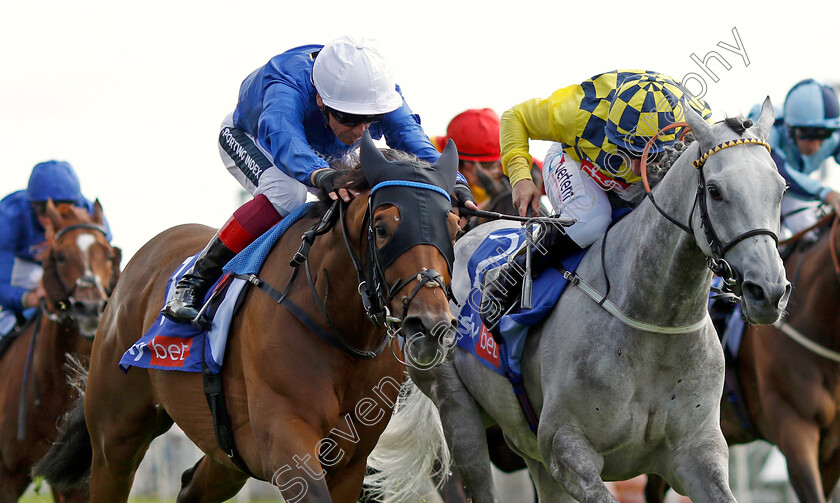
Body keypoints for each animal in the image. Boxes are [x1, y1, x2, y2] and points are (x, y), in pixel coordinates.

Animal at [36, 135, 462, 503]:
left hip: (226, 450)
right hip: (116, 436)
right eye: (383, 227)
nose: (430, 325)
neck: (338, 327)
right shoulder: (286, 440)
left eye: (455, 226)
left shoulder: (349, 460)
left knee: (191, 487)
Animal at [370, 99, 796, 503]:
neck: (656, 323)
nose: (768, 290)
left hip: (528, 444)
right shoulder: (566, 446)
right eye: (715, 191)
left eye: (781, 189)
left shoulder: (697, 453)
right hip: (457, 406)